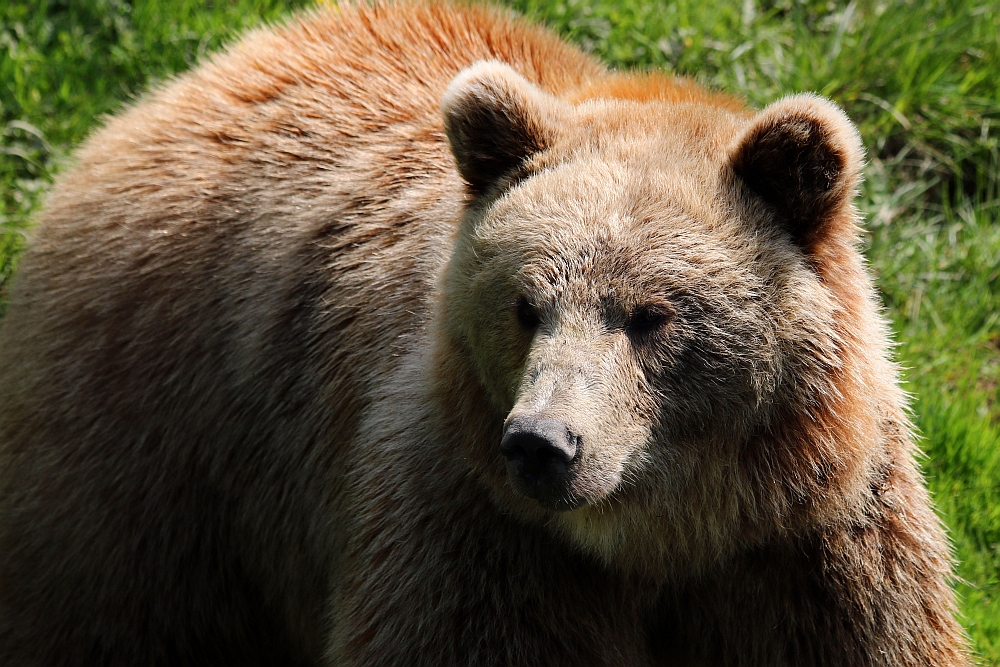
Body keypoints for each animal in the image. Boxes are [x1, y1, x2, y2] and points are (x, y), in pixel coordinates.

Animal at [0, 1, 972, 667]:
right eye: (524, 304)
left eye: (653, 315)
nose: (544, 443)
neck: (665, 539)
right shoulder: (478, 532)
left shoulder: (811, 550)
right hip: (162, 442)